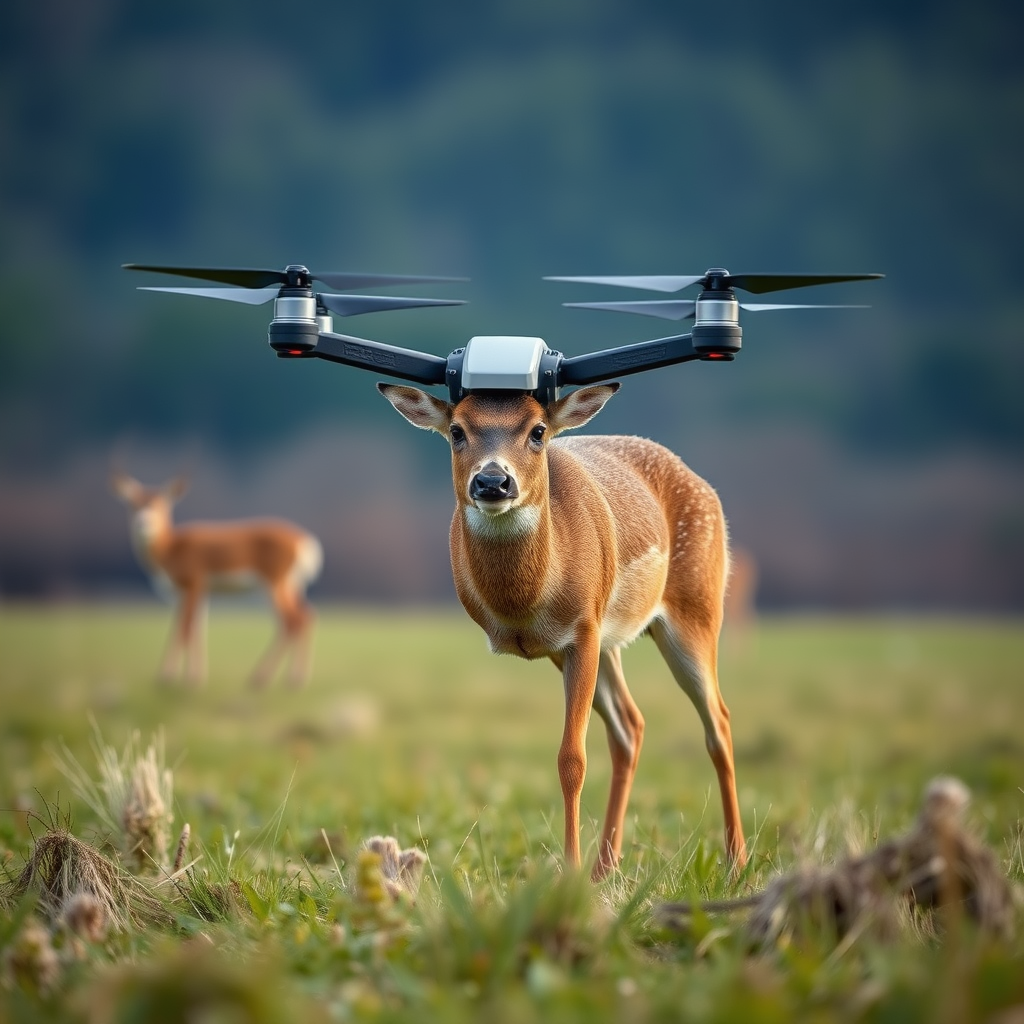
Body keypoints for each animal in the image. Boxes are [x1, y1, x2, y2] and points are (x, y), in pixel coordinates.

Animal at [111, 472, 323, 688]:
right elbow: (190, 629)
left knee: (292, 621)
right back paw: (292, 678)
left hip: (274, 584)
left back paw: (266, 679)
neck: (171, 549)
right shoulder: (189, 593)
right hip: (293, 586)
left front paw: (182, 680)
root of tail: (304, 541)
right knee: (306, 616)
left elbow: (186, 629)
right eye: (132, 504)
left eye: (160, 504)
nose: (143, 523)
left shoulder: (193, 585)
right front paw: (182, 677)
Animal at [378, 381, 746, 880]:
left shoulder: (584, 630)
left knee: (718, 721)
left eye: (538, 431)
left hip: (697, 610)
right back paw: (605, 869)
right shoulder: (568, 641)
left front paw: (568, 875)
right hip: (610, 642)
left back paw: (736, 861)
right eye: (456, 431)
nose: (492, 481)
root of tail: (703, 483)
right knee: (631, 725)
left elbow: (572, 759)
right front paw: (579, 873)